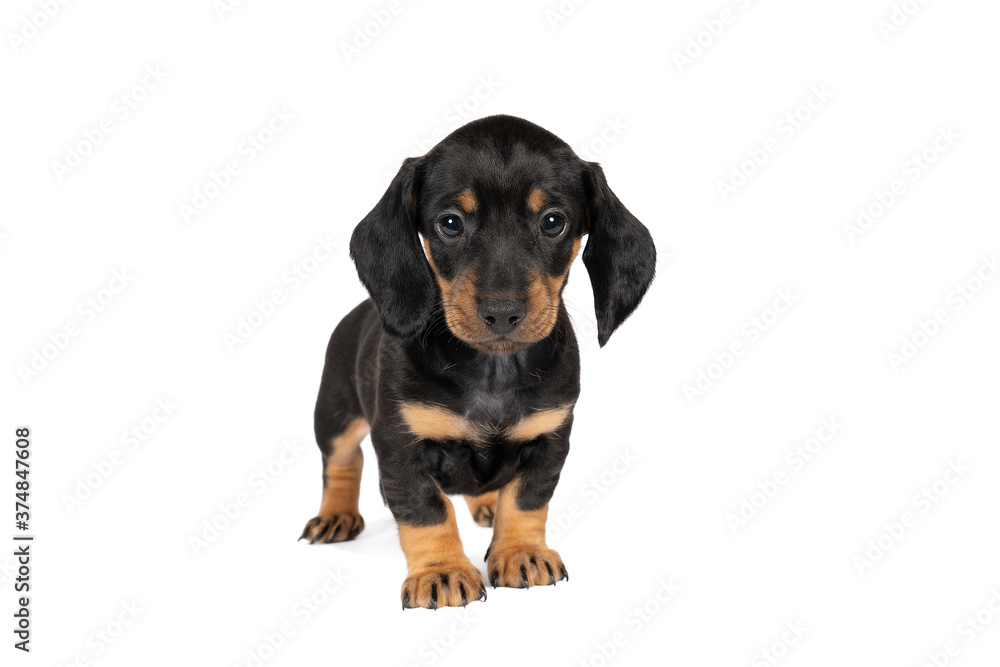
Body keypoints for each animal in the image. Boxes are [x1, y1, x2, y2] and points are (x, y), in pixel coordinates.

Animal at [296, 115, 656, 612]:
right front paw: (442, 572)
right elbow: (427, 510)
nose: (502, 312)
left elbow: (525, 502)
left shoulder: (549, 439)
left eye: (553, 222)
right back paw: (336, 515)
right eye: (450, 223)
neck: (493, 368)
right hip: (335, 414)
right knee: (342, 462)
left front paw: (521, 553)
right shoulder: (400, 445)